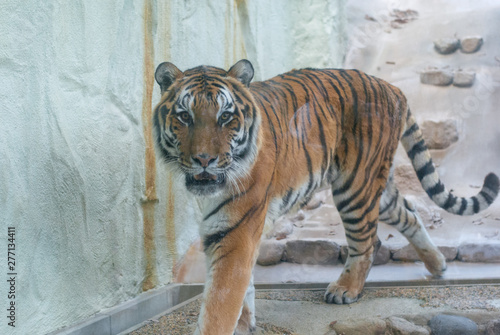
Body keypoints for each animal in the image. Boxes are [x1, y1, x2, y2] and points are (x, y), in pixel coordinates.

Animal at [152, 59, 500, 334]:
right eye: (184, 116)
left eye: (225, 117)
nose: (204, 159)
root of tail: (391, 87)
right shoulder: (227, 230)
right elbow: (242, 289)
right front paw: (244, 324)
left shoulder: (236, 230)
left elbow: (220, 302)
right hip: (378, 187)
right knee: (410, 215)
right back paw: (438, 264)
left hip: (355, 186)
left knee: (367, 242)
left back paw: (346, 290)